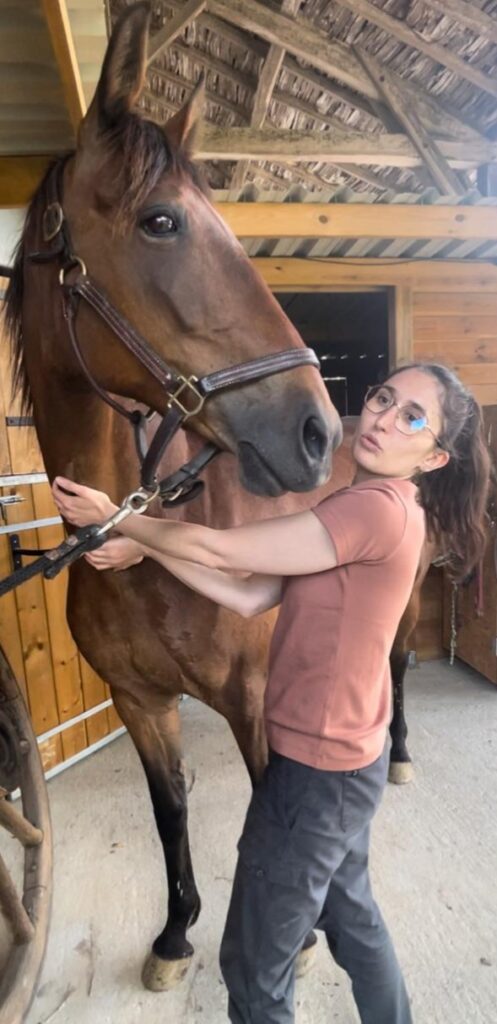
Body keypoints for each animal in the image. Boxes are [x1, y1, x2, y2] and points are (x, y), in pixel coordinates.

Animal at [1, 0, 422, 991]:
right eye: (161, 221)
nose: (311, 431)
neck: (144, 551)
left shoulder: (256, 697)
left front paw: (298, 938)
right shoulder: (138, 703)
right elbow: (171, 814)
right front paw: (175, 932)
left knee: (393, 665)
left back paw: (397, 755)